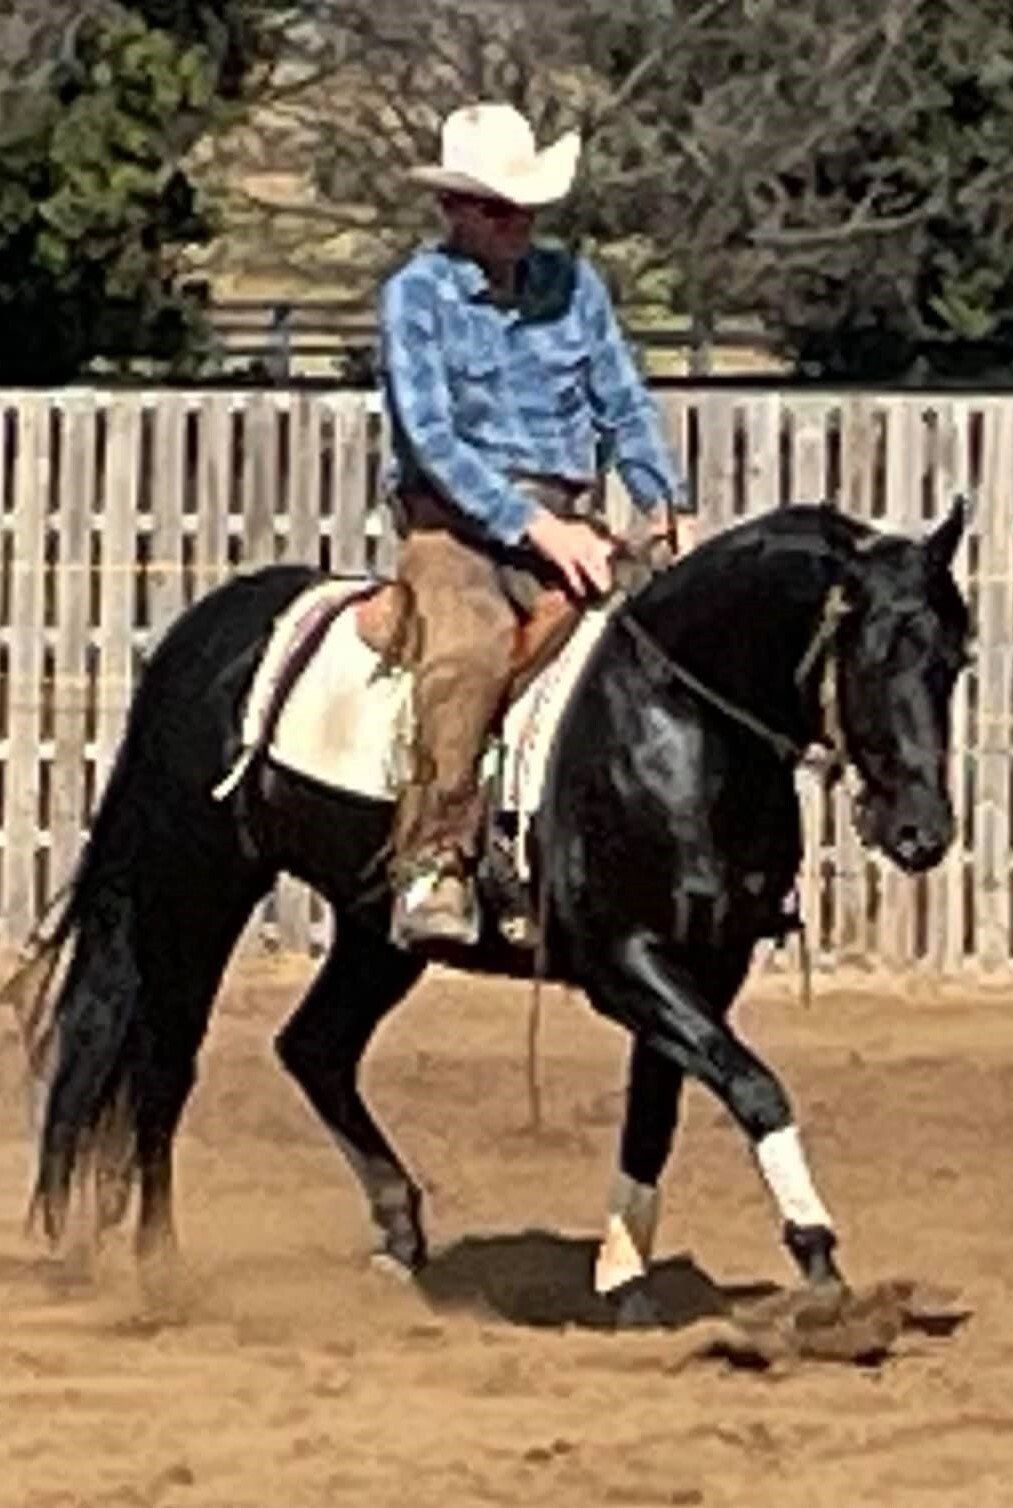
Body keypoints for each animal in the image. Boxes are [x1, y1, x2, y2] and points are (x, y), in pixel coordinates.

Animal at [10, 496, 970, 1327]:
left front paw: (625, 1278)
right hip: (195, 891)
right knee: (165, 1066)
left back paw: (399, 1234)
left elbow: (656, 1113)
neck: (673, 721)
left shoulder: (704, 968)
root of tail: (207, 627)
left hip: (377, 934)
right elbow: (755, 1087)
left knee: (314, 1047)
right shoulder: (626, 963)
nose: (921, 832)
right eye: (875, 652)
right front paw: (818, 1259)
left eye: (953, 661)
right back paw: (162, 1269)